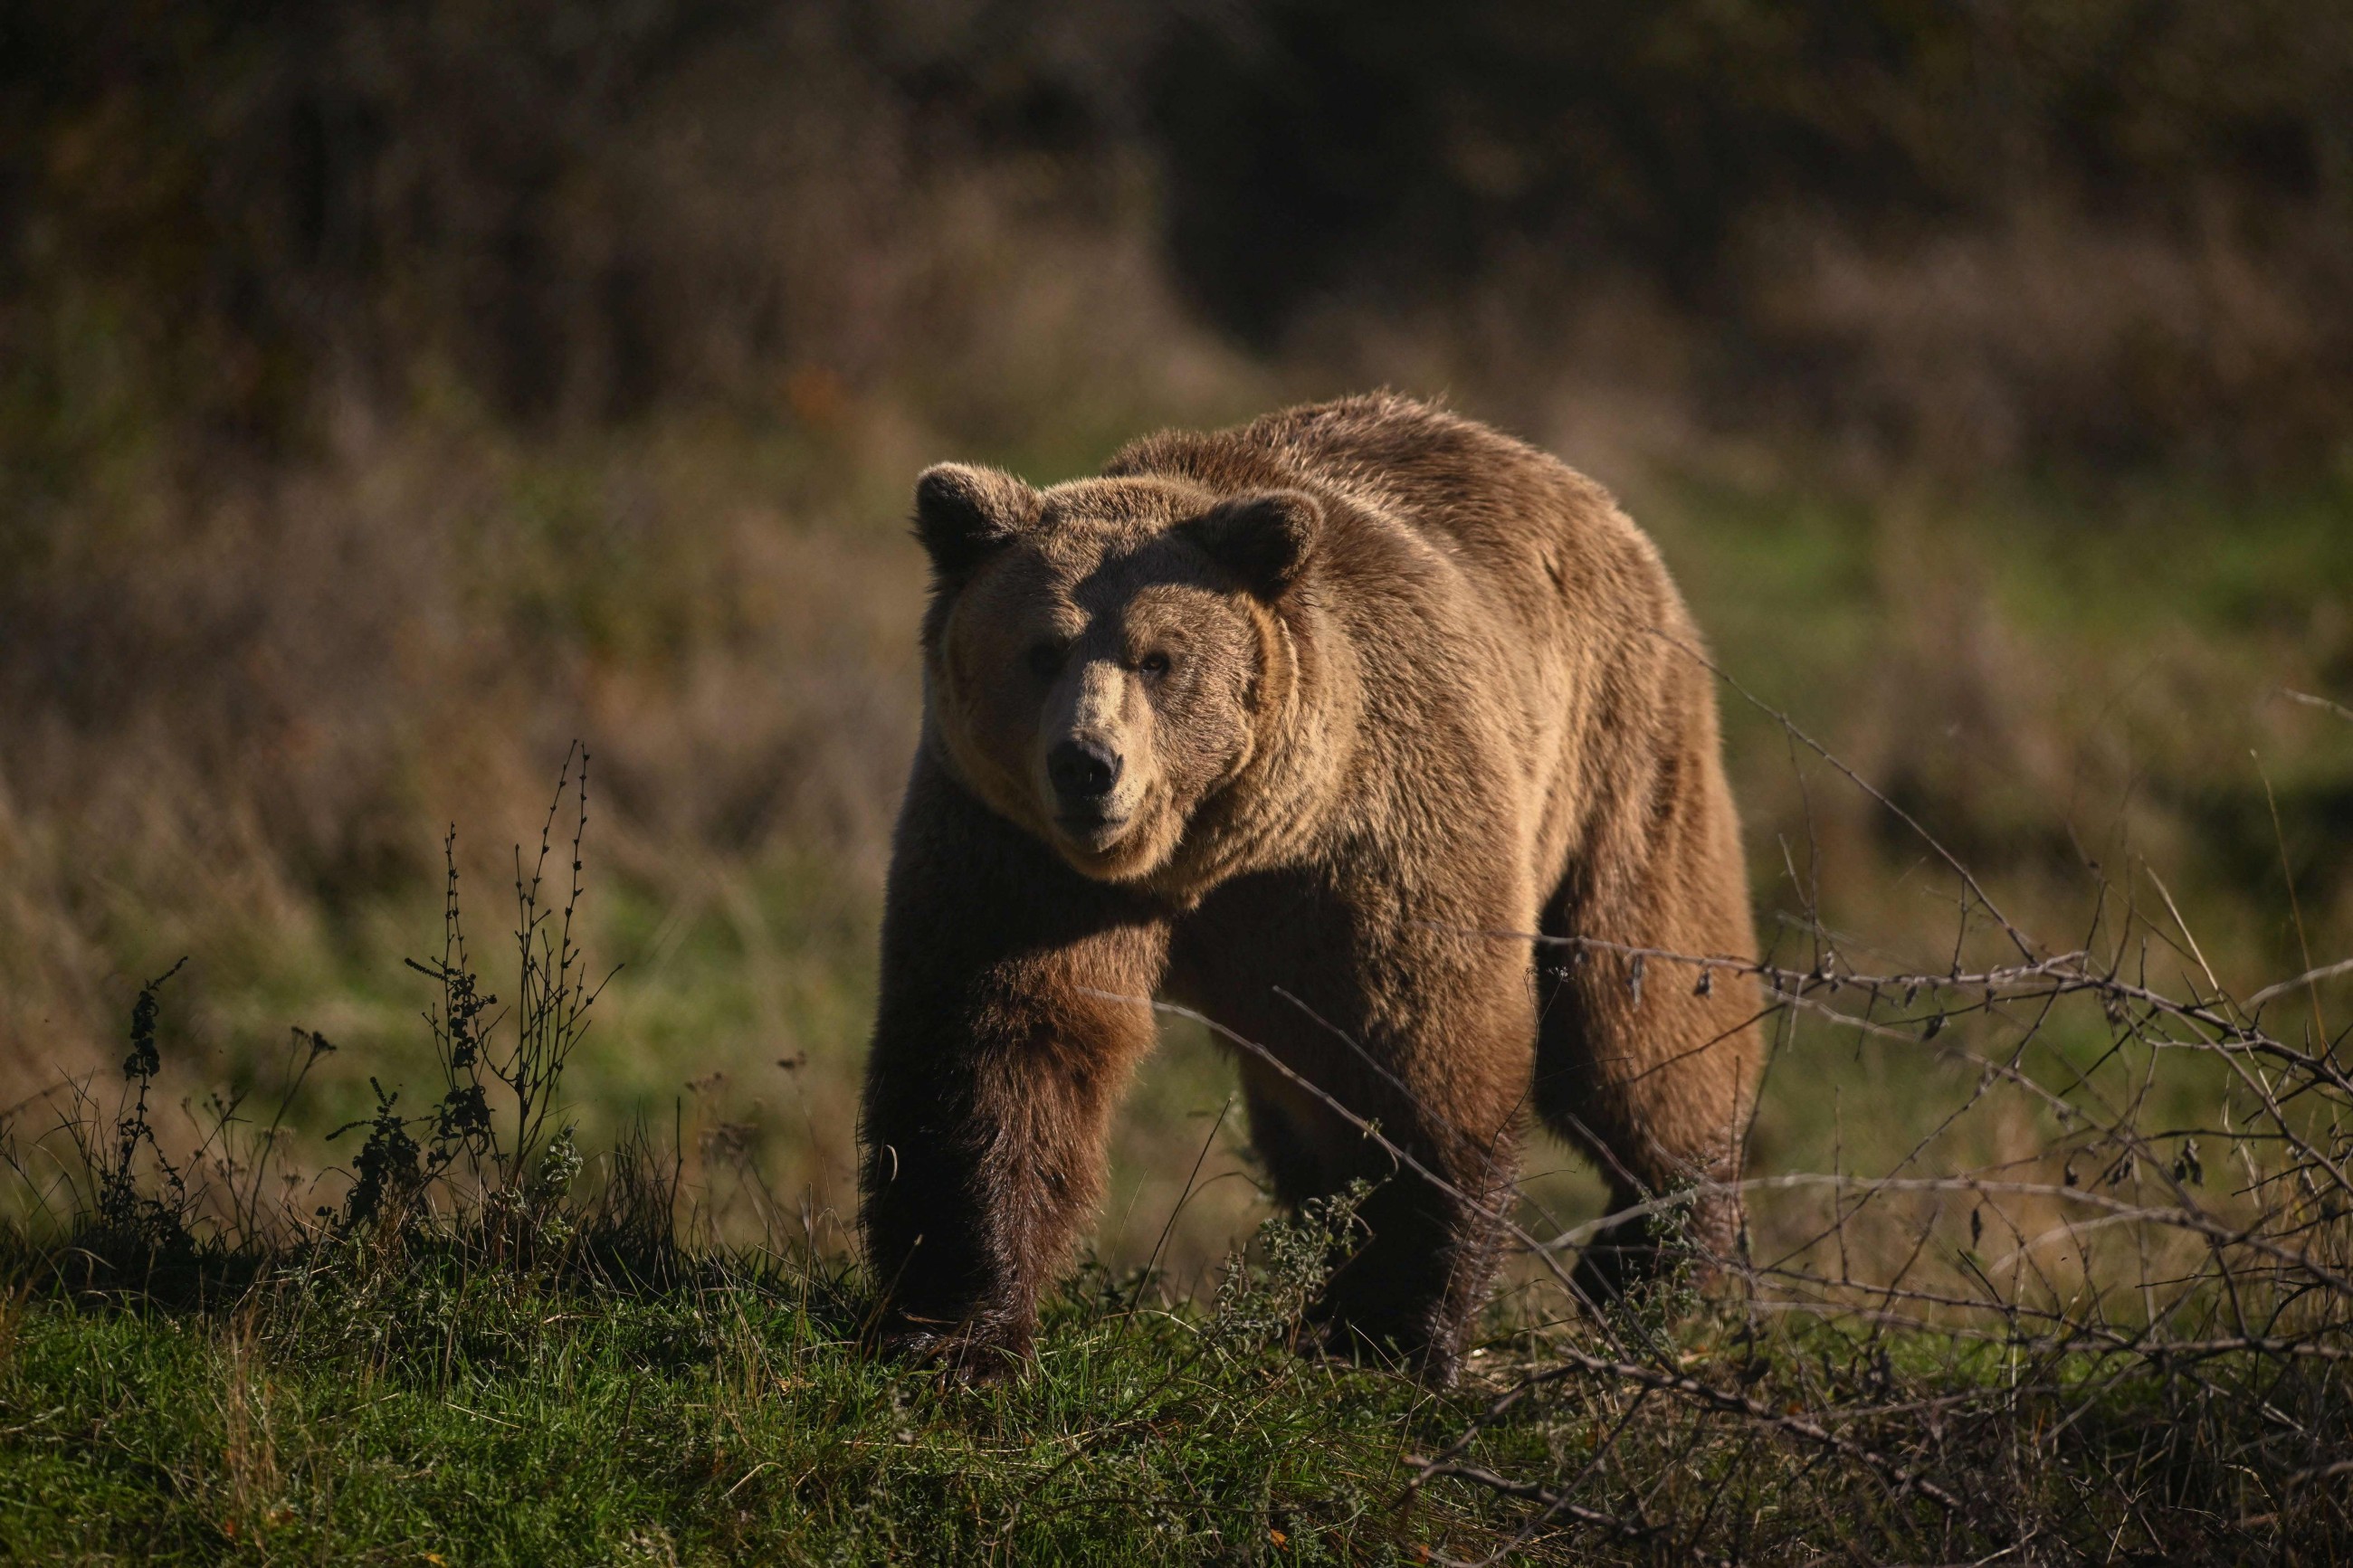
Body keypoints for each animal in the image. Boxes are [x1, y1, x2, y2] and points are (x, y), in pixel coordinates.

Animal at [858, 393, 1761, 1383]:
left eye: (1157, 657)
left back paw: (1654, 1259)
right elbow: (1001, 1045)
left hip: (1617, 763)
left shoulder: (1373, 843)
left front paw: (1387, 1325)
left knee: (1639, 1016)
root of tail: (1586, 495)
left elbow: (1421, 1053)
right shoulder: (1016, 848)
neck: (1206, 851)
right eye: (1041, 649)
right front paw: (957, 1325)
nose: (1086, 764)